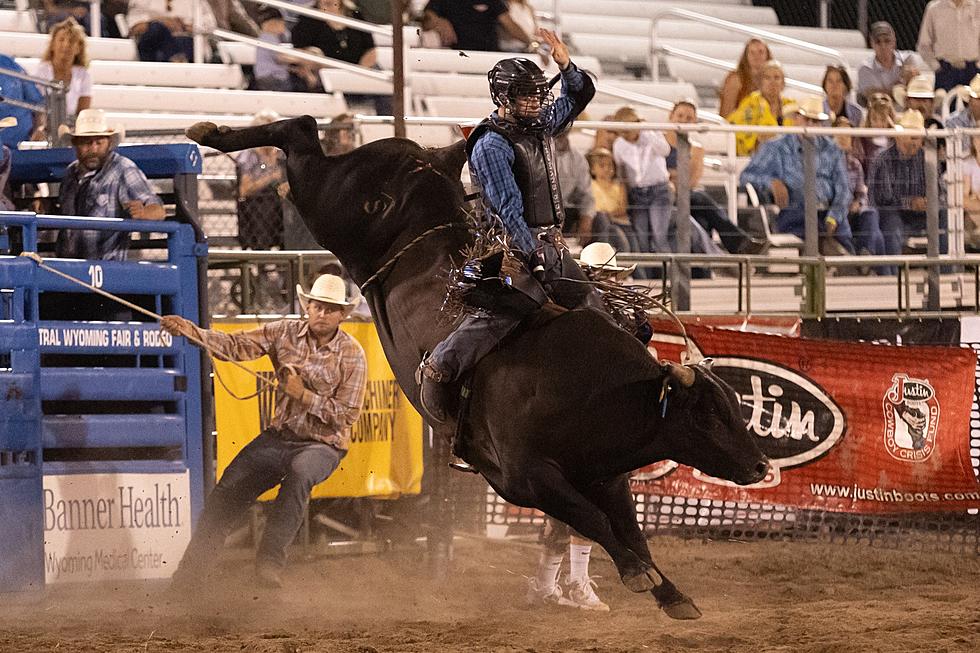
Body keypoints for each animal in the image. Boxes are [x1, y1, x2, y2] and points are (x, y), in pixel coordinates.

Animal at [188, 117, 768, 620]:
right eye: (705, 416)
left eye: (735, 409)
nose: (761, 467)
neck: (591, 391)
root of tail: (416, 157)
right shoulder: (525, 478)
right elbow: (595, 521)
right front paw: (638, 576)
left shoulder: (605, 474)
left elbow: (628, 528)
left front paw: (671, 594)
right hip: (330, 201)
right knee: (302, 133)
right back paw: (212, 132)